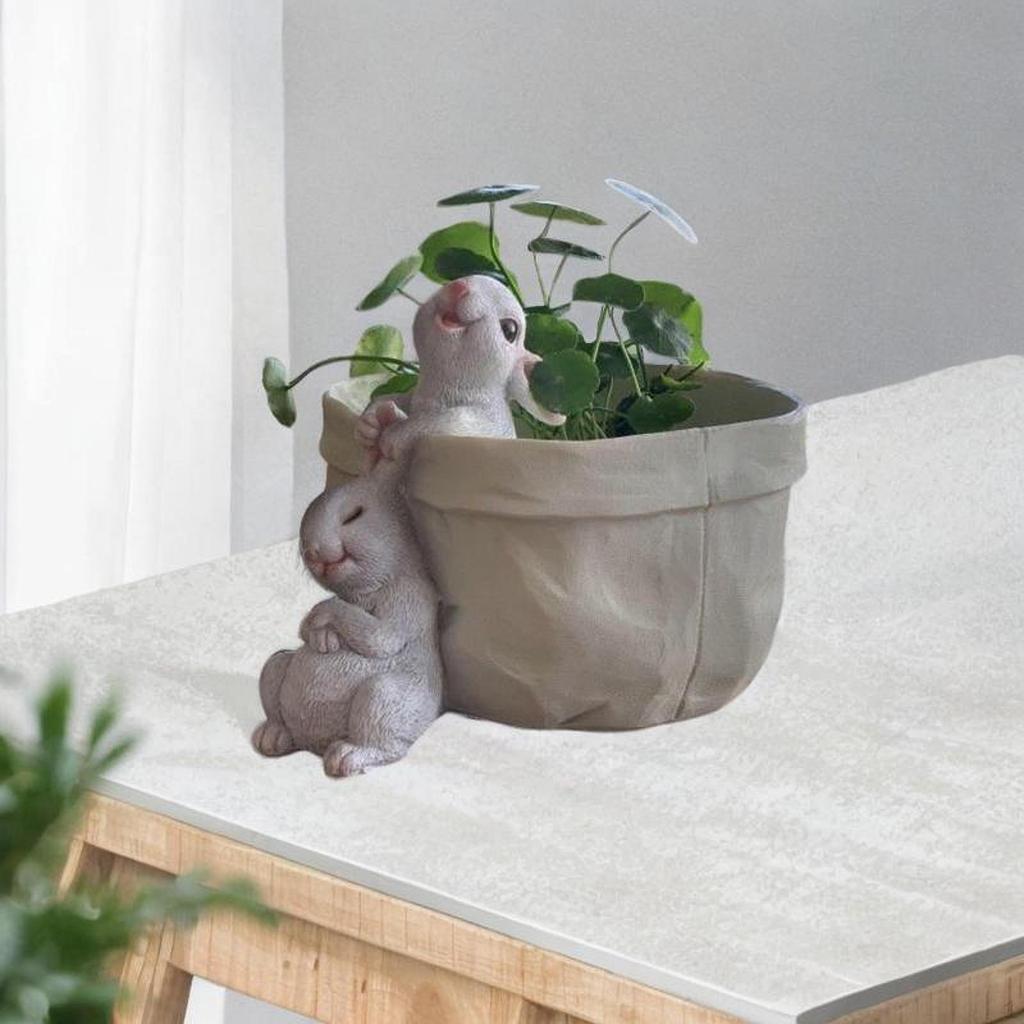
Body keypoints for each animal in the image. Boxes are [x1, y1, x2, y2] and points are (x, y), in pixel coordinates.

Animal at [252, 462, 442, 777]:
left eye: (355, 514)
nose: (314, 550)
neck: (366, 590)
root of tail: (313, 745)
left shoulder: (407, 597)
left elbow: (380, 636)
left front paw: (322, 618)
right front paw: (321, 637)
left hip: (386, 697)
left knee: (387, 740)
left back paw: (347, 757)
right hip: (275, 668)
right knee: (276, 674)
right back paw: (272, 737)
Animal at [357, 275, 566, 466]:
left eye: (509, 330)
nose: (458, 286)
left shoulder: (480, 425)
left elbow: (450, 420)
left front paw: (393, 437)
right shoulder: (412, 396)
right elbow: (390, 399)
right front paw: (369, 427)